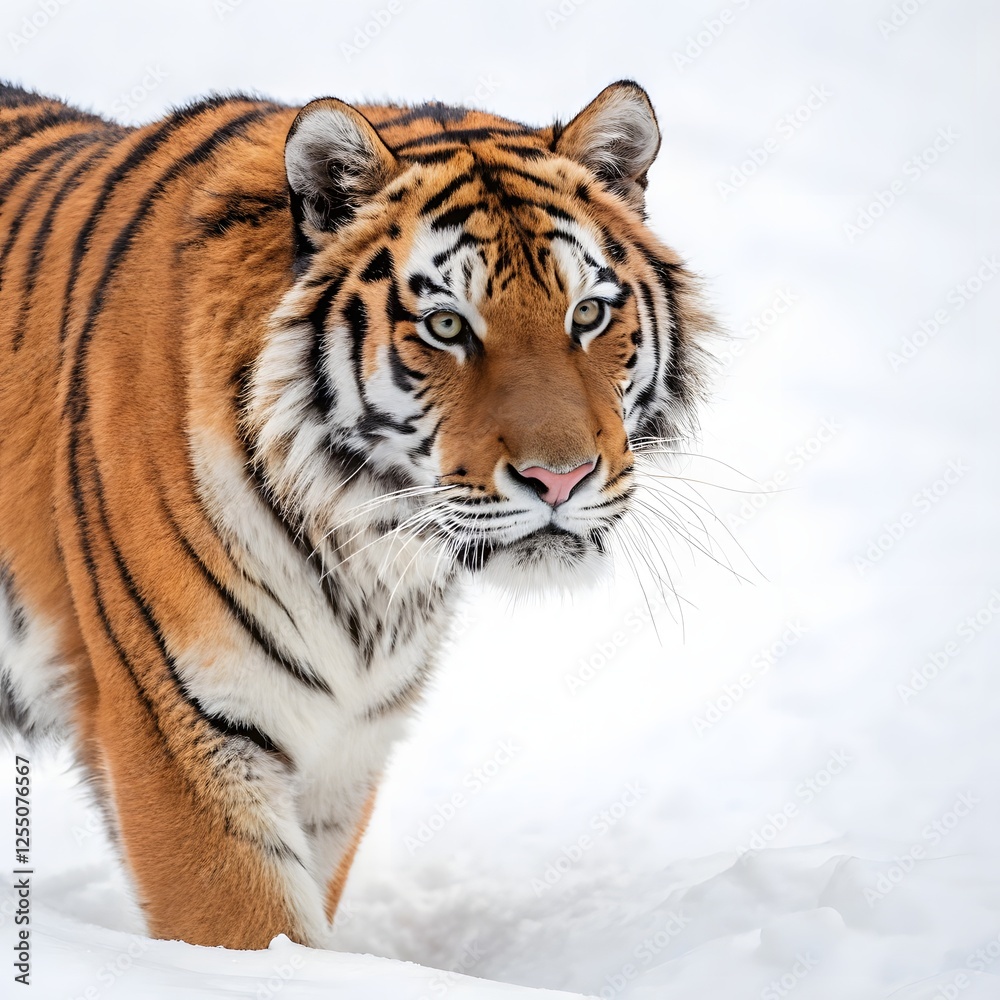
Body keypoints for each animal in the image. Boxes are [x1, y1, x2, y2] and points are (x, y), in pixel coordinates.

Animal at [0, 78, 714, 950]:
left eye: (587, 315)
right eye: (446, 325)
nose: (561, 477)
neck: (372, 551)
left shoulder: (348, 743)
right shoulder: (178, 725)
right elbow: (256, 930)